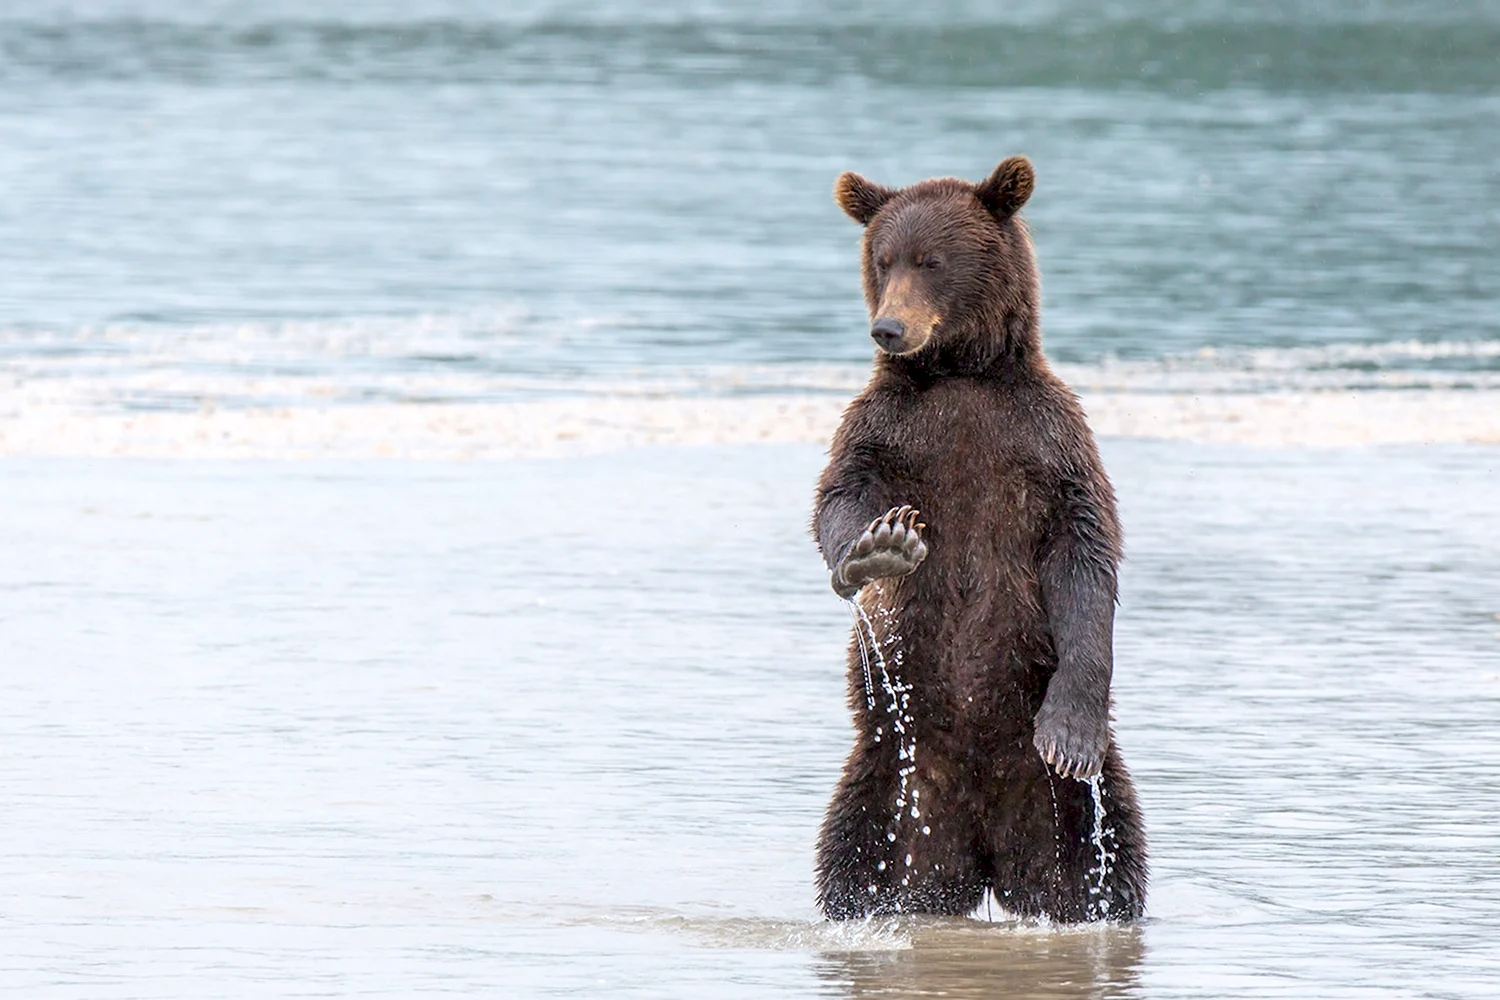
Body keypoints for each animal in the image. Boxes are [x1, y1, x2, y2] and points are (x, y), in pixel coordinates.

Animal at [810, 154, 1146, 923]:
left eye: (932, 261)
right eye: (883, 259)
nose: (889, 328)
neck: (961, 372)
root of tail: (987, 858)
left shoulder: (1045, 442)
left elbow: (1085, 556)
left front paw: (1068, 734)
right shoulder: (888, 430)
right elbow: (839, 497)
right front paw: (877, 549)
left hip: (1068, 810)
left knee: (1110, 861)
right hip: (889, 782)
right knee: (852, 858)